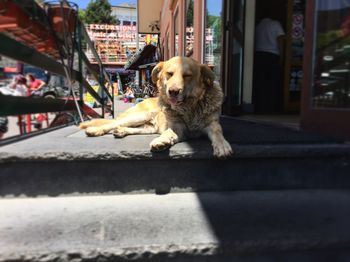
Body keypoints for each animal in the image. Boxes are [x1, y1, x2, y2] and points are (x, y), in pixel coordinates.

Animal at [79, 56, 232, 159]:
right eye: (169, 74)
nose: (173, 91)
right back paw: (95, 130)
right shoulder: (177, 127)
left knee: (130, 128)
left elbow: (218, 133)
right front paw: (162, 141)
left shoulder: (212, 124)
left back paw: (121, 131)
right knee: (112, 123)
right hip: (140, 116)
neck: (189, 108)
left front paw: (222, 145)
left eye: (187, 75)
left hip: (148, 127)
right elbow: (169, 132)